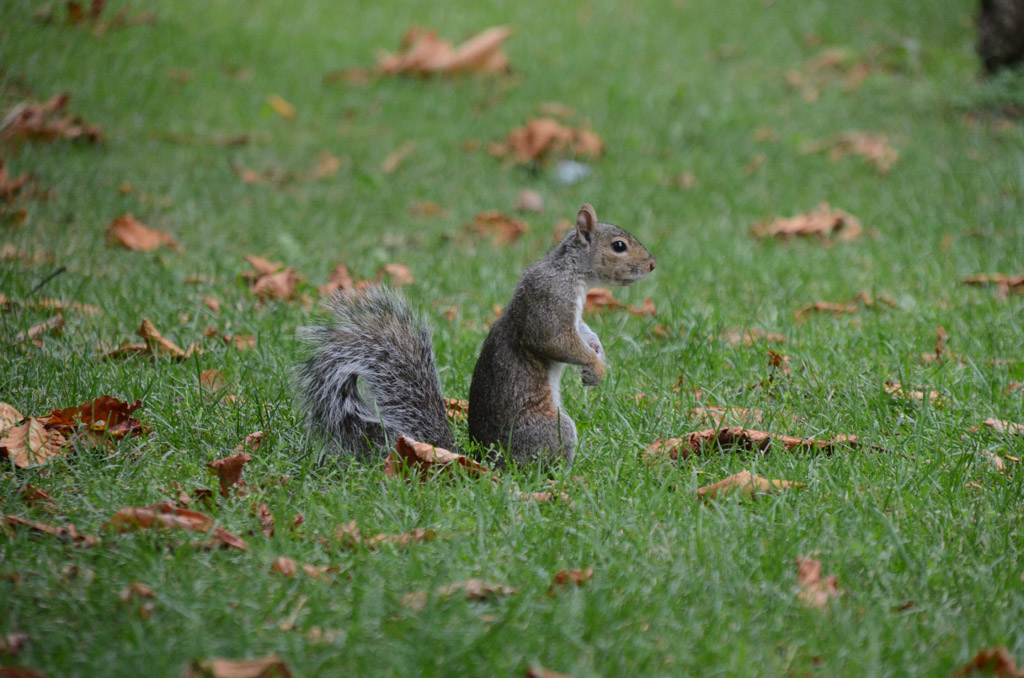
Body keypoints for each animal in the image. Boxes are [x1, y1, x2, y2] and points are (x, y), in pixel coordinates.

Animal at [297, 203, 656, 468]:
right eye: (619, 246)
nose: (653, 265)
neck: (571, 272)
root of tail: (487, 461)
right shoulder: (548, 303)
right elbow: (555, 341)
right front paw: (594, 366)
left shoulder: (575, 315)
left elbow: (582, 332)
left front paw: (597, 354)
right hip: (550, 430)